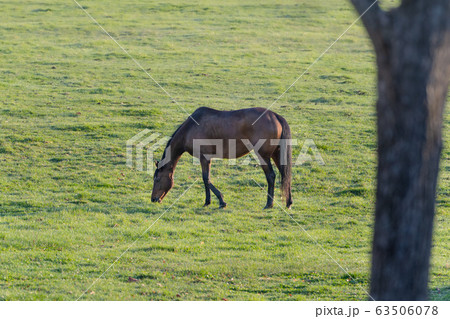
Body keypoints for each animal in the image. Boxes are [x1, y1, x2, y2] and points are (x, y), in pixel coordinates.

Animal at [149, 107, 294, 210]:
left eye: (157, 179)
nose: (153, 199)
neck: (190, 128)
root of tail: (275, 115)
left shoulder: (204, 158)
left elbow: (206, 179)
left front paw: (221, 201)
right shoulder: (206, 159)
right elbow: (205, 179)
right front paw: (207, 201)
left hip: (263, 156)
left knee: (271, 176)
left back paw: (269, 204)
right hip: (276, 154)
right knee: (285, 175)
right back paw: (288, 202)